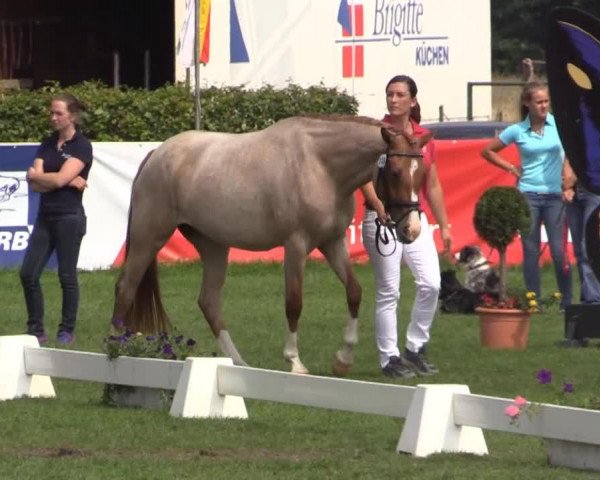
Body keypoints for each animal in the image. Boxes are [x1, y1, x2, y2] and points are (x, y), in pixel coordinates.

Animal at [112, 115, 428, 376]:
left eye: (420, 173)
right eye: (395, 171)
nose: (411, 229)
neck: (320, 165)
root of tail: (156, 154)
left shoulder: (332, 242)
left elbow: (354, 292)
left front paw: (343, 359)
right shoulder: (296, 245)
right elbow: (294, 302)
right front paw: (295, 361)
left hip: (214, 246)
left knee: (208, 301)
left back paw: (238, 363)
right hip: (149, 237)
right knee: (126, 287)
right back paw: (115, 348)